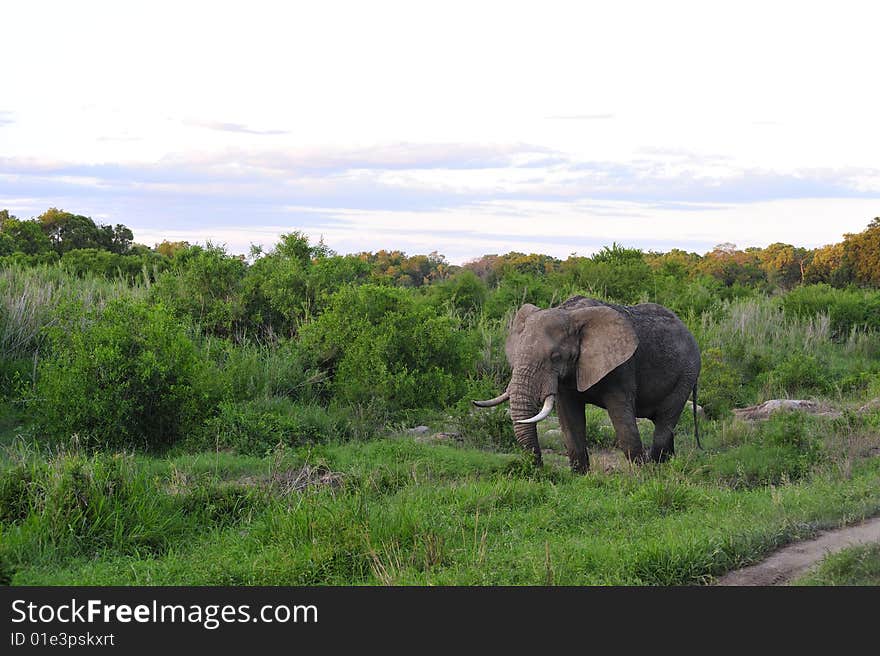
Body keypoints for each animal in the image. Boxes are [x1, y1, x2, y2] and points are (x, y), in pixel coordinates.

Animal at [474, 298, 700, 472]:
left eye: (555, 357)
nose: (538, 469)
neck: (570, 313)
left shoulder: (621, 368)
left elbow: (623, 423)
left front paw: (642, 475)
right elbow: (570, 422)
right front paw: (579, 477)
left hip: (686, 374)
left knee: (664, 422)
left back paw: (657, 468)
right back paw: (667, 465)